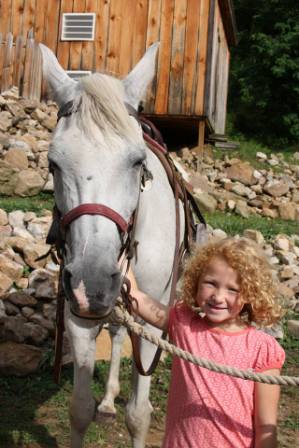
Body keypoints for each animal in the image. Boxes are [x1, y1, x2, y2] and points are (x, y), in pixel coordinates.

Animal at [39, 43, 185, 448]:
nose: (93, 284)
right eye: (53, 163)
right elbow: (78, 409)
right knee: (118, 333)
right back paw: (106, 402)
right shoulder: (78, 315)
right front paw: (93, 405)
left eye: (137, 161)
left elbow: (138, 414)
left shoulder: (154, 321)